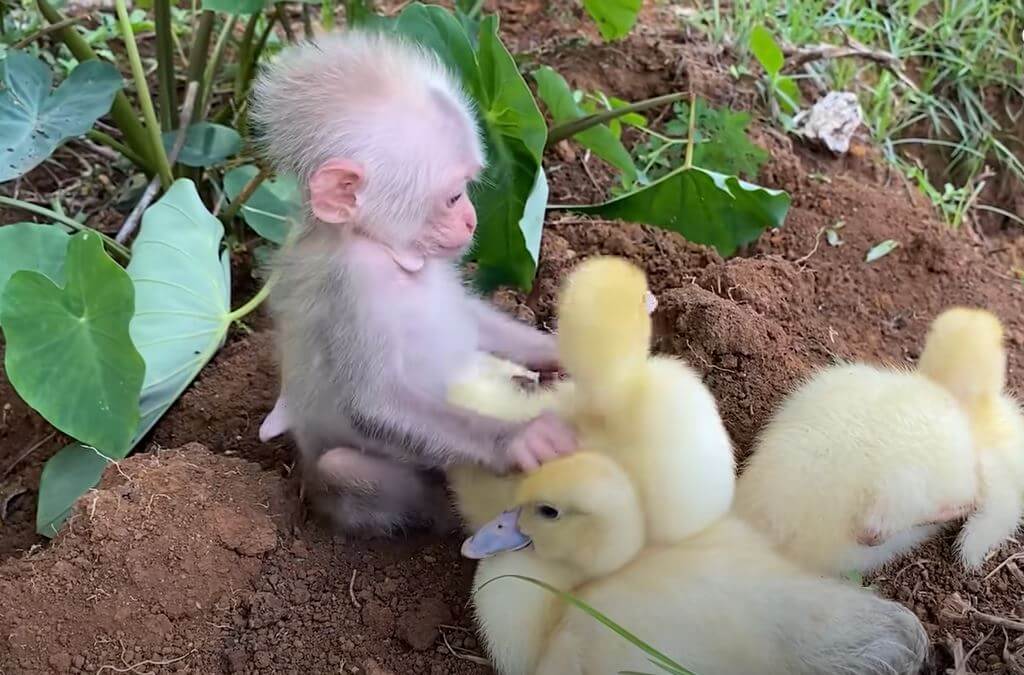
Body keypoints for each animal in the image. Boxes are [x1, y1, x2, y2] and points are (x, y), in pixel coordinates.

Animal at [248, 31, 577, 536]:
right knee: (341, 468)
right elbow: (375, 404)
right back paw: (444, 508)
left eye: (468, 189)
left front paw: (558, 350)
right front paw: (520, 437)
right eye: (454, 197)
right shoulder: (353, 283)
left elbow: (470, 319)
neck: (386, 251)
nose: (471, 220)